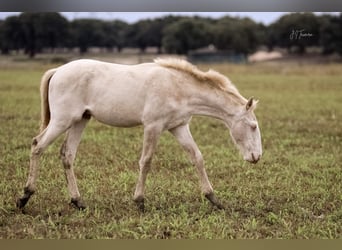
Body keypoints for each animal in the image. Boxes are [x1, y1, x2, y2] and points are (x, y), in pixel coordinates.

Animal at [16, 57, 262, 211]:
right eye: (253, 126)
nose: (256, 157)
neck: (177, 87)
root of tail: (58, 71)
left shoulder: (179, 127)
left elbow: (197, 158)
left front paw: (213, 199)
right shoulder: (153, 126)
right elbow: (146, 161)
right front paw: (140, 201)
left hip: (80, 121)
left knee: (67, 155)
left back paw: (78, 201)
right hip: (62, 120)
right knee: (37, 145)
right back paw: (24, 197)